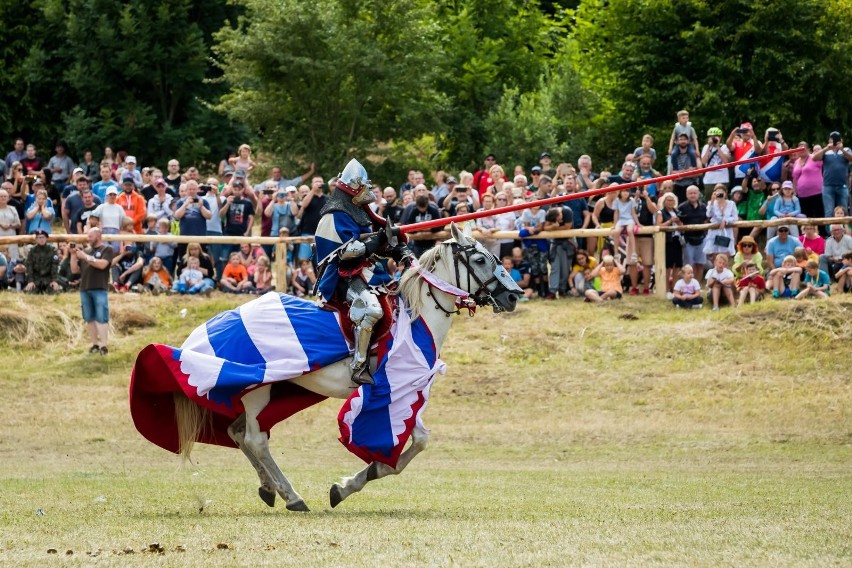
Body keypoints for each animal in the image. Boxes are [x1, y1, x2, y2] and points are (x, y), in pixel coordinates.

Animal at [166, 224, 520, 512]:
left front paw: (351, 483)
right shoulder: (393, 391)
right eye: (480, 260)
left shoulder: (410, 393)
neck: (417, 314)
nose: (514, 297)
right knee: (255, 438)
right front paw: (347, 484)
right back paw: (292, 496)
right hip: (259, 391)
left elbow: (418, 442)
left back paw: (269, 489)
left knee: (237, 432)